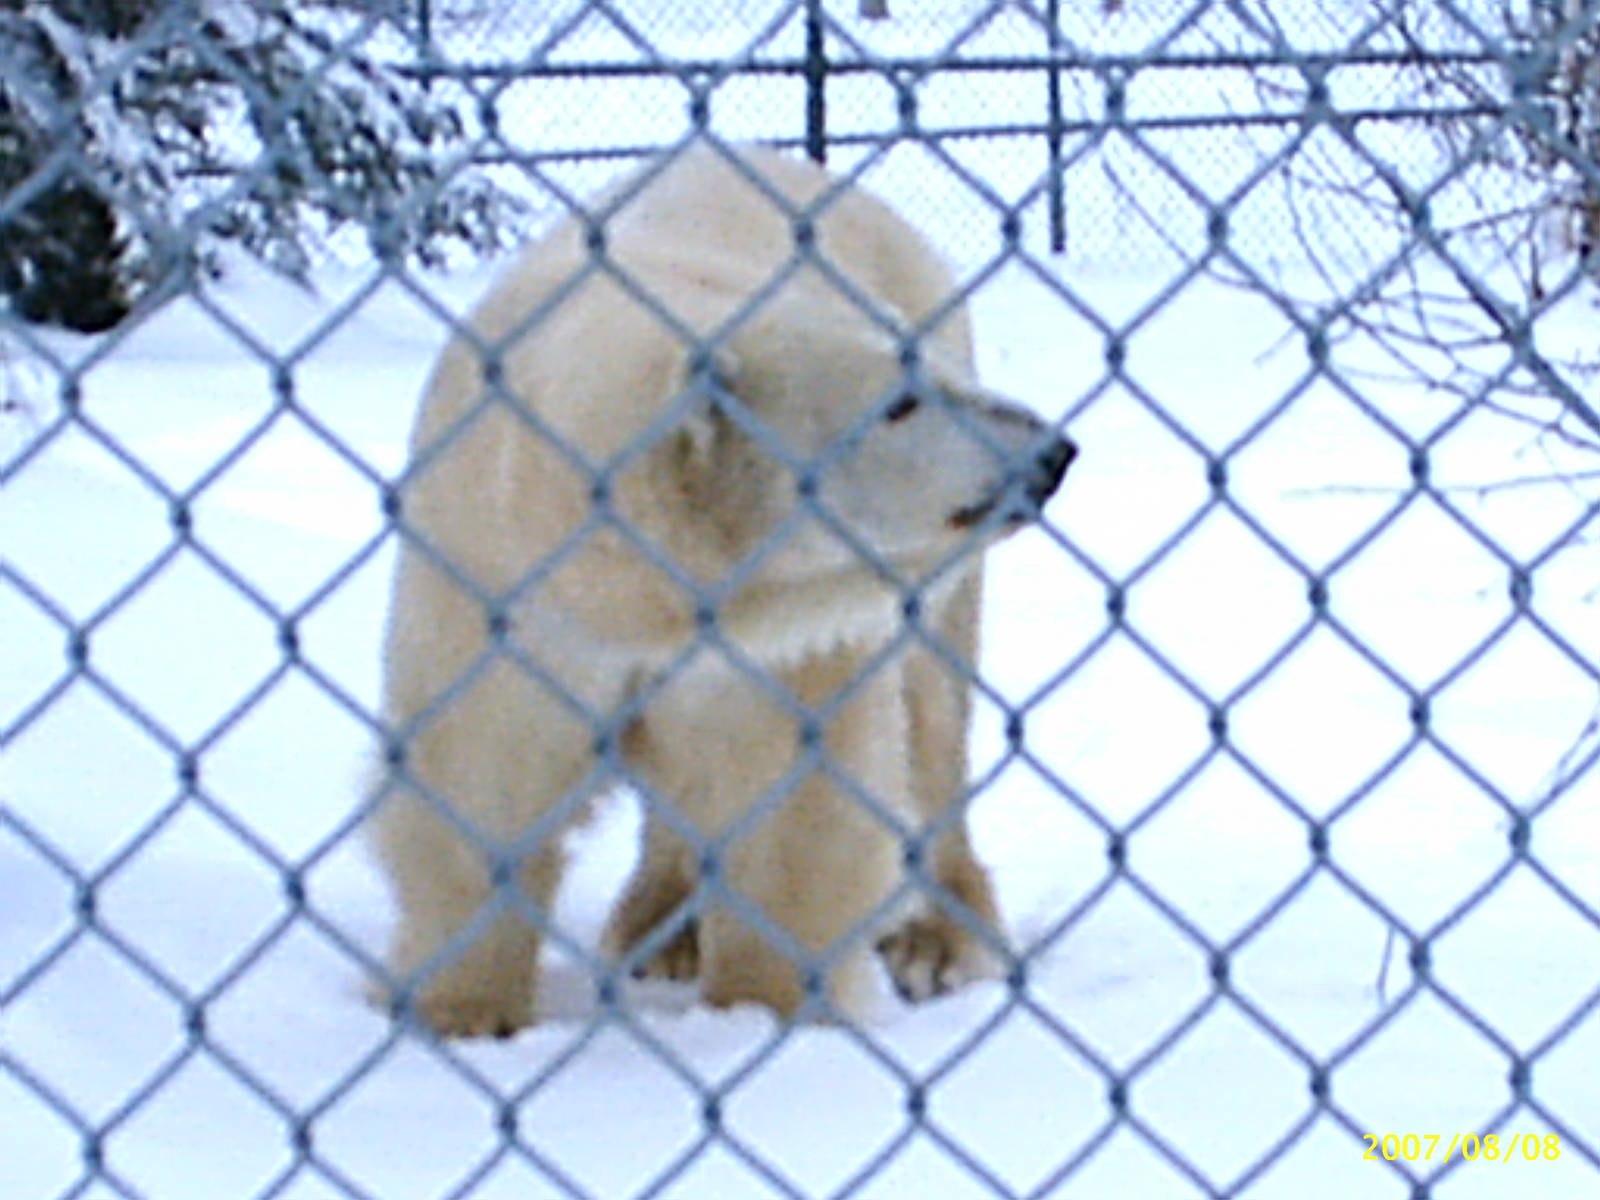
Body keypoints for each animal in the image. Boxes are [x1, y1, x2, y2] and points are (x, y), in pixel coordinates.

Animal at [370, 140, 1075, 1038]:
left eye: (931, 375)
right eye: (899, 402)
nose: (1052, 451)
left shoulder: (776, 643)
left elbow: (790, 800)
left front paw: (764, 1013)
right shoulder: (496, 589)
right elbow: (485, 773)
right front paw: (465, 1015)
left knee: (931, 717)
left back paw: (939, 940)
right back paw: (662, 925)